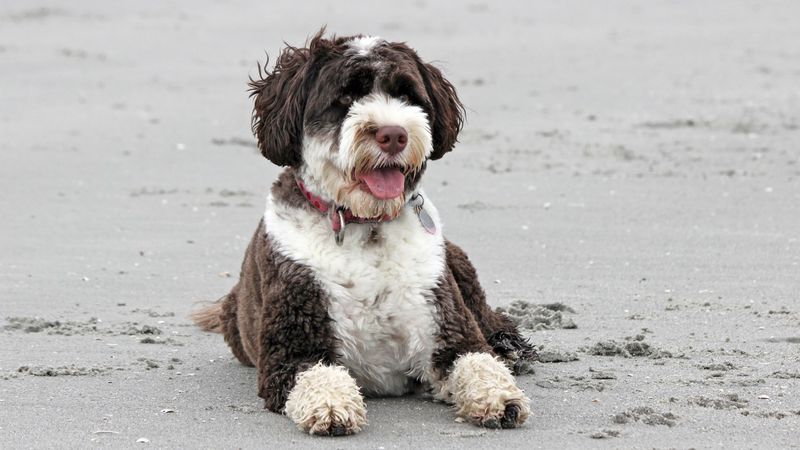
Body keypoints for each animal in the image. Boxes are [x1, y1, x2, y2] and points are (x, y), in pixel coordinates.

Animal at [191, 30, 536, 436]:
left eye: (407, 95)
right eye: (345, 98)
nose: (393, 134)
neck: (366, 224)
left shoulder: (448, 330)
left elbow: (477, 360)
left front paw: (499, 396)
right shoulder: (291, 350)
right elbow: (317, 373)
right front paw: (331, 405)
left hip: (457, 261)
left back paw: (510, 346)